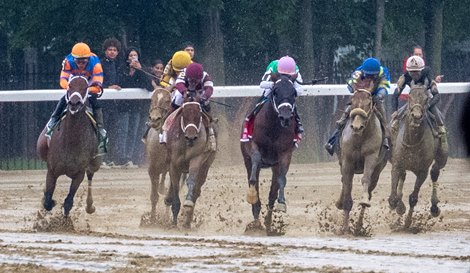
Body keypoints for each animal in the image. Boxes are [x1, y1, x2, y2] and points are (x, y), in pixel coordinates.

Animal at [37, 75, 102, 216]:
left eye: (85, 87)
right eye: (70, 86)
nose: (74, 103)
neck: (71, 141)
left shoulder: (79, 173)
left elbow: (68, 203)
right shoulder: (52, 170)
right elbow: (48, 201)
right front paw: (49, 200)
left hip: (96, 162)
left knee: (90, 175)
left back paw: (90, 206)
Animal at [163, 92, 215, 227]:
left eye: (198, 113)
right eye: (184, 113)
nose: (191, 136)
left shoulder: (197, 158)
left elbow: (191, 181)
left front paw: (188, 203)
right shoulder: (174, 163)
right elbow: (175, 185)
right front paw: (174, 221)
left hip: (205, 166)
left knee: (197, 189)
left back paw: (187, 221)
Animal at [242, 75, 298, 233]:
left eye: (294, 93)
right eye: (275, 92)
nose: (285, 117)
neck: (273, 127)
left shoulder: (285, 154)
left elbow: (281, 181)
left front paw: (282, 203)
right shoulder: (253, 144)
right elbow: (255, 166)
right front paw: (252, 194)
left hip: (274, 166)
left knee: (272, 192)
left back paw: (267, 223)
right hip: (246, 159)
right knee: (253, 177)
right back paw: (256, 222)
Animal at [336, 77, 388, 233]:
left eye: (369, 102)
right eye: (351, 102)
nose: (356, 126)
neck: (360, 137)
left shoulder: (371, 157)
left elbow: (366, 180)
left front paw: (364, 202)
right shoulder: (347, 160)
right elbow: (347, 184)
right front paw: (345, 227)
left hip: (378, 169)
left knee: (370, 187)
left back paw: (359, 226)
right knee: (344, 181)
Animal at [388, 83, 450, 227]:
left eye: (426, 99)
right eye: (409, 97)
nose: (416, 116)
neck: (413, 142)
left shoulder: (422, 171)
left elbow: (413, 198)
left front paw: (408, 222)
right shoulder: (397, 164)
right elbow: (393, 197)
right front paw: (399, 206)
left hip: (442, 156)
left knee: (435, 171)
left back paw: (434, 208)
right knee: (403, 176)